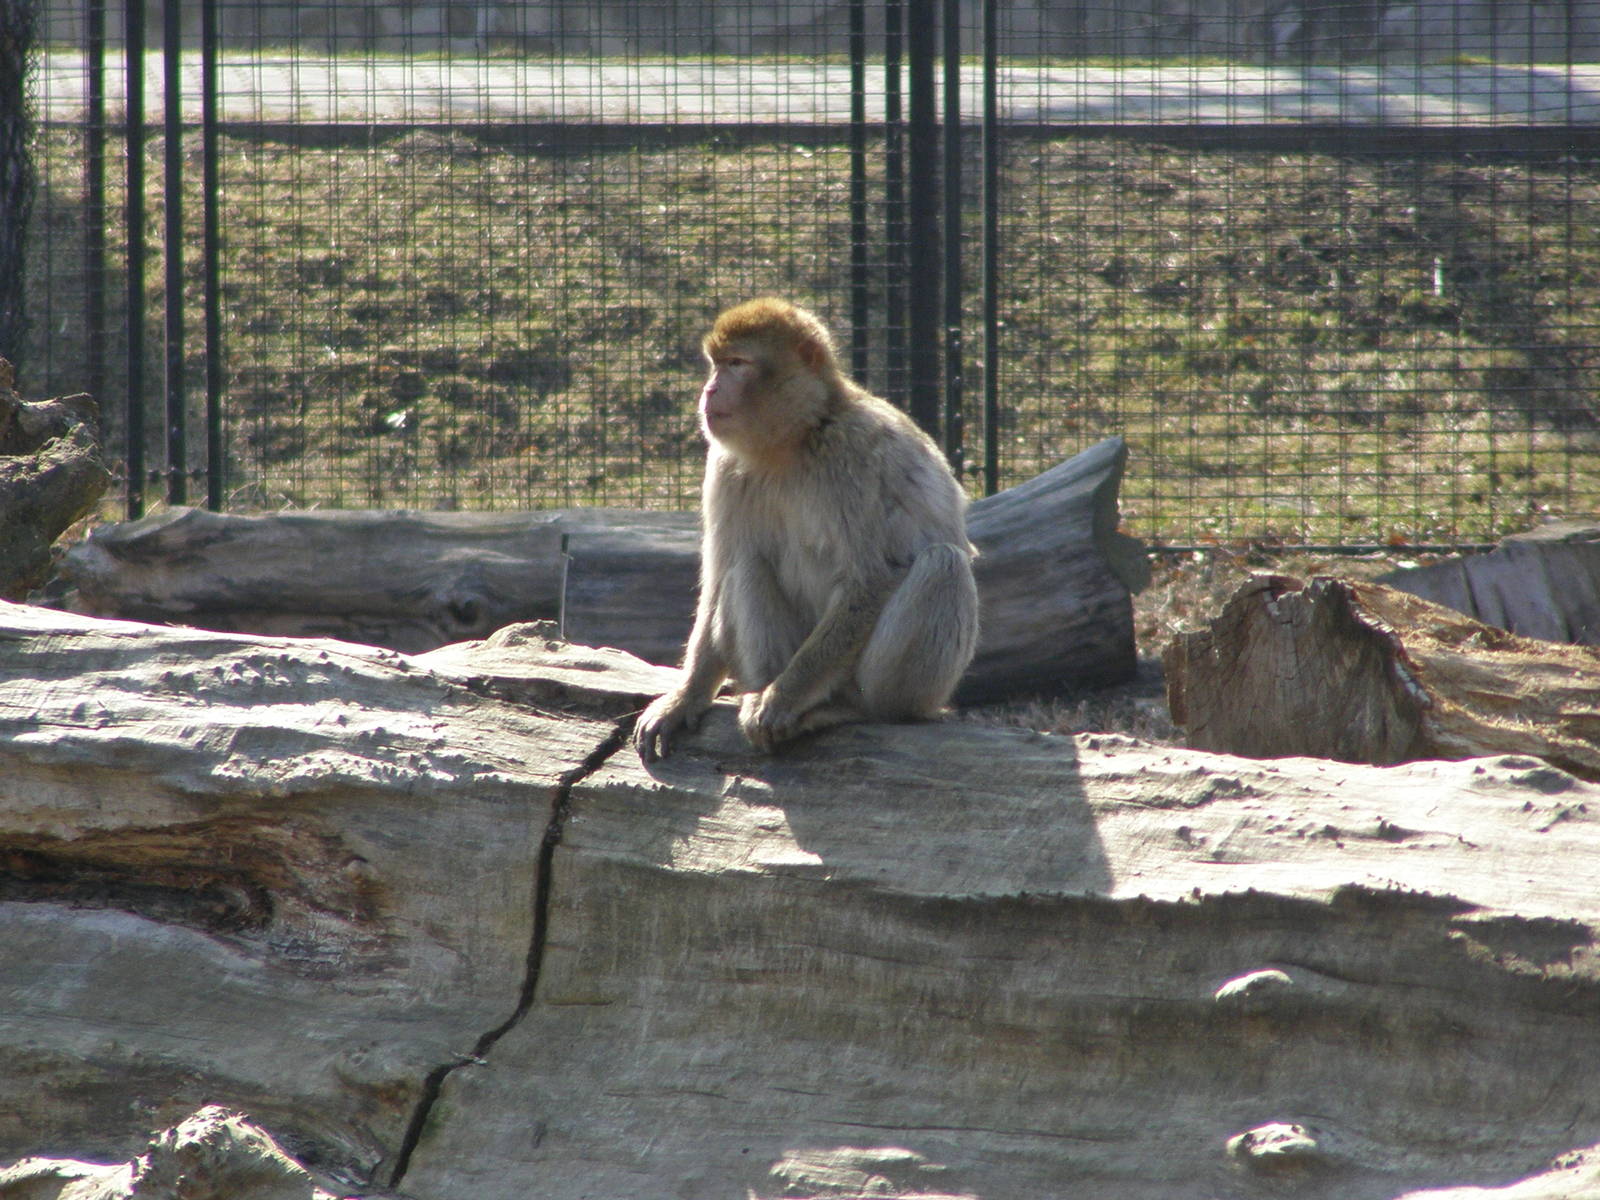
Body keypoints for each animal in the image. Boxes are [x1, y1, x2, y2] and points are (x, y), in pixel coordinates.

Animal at [634, 298, 979, 760]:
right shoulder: (724, 466)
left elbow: (873, 577)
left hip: (891, 684)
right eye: (716, 365)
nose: (709, 390)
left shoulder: (853, 454)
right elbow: (719, 577)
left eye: (737, 364)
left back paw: (850, 709)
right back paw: (759, 689)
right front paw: (686, 698)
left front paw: (783, 699)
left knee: (943, 562)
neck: (797, 439)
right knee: (745, 565)